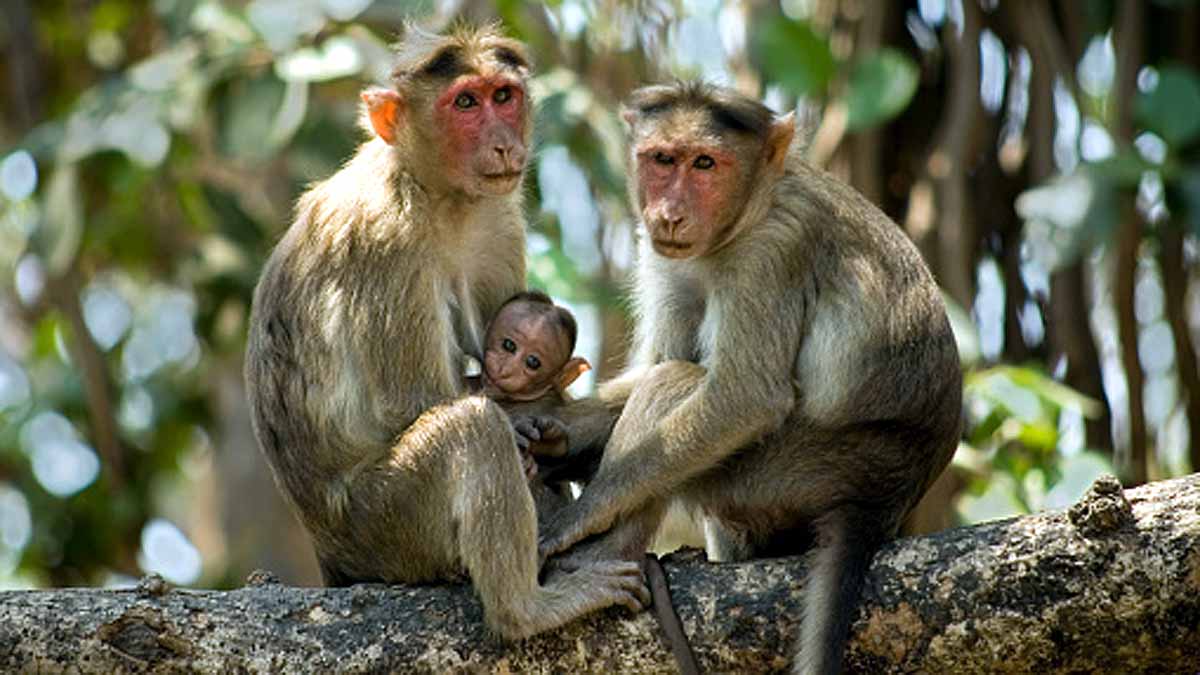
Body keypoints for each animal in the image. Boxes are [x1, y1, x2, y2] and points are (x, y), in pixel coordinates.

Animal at [243, 24, 648, 641]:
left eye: (502, 96)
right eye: (464, 104)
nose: (504, 143)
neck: (437, 195)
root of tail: (331, 550)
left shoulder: (499, 220)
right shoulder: (387, 241)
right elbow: (413, 401)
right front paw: (522, 429)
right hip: (388, 523)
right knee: (470, 429)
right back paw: (526, 610)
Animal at [537, 81, 963, 673]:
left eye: (705, 163)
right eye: (662, 159)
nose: (669, 213)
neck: (744, 216)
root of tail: (886, 497)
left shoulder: (771, 251)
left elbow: (745, 396)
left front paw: (584, 514)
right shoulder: (665, 258)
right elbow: (657, 361)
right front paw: (548, 431)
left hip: (802, 471)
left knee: (677, 385)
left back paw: (594, 562)